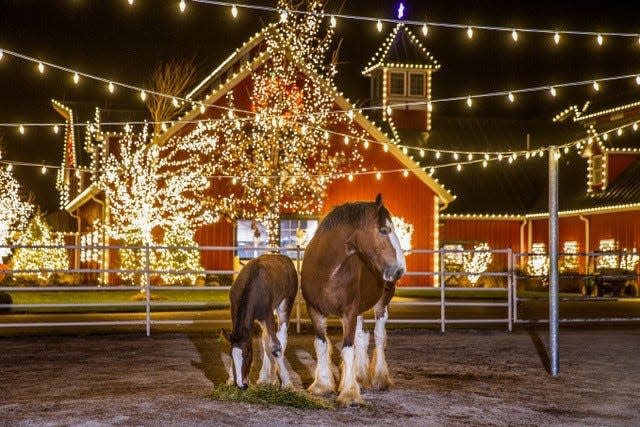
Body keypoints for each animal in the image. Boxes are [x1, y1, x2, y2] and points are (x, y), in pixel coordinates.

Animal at [222, 254, 298, 392]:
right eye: (231, 356)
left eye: (247, 354)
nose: (242, 385)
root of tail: (284, 258)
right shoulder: (234, 311)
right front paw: (230, 378)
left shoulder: (267, 315)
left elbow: (275, 346)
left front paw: (287, 383)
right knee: (265, 338)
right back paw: (264, 377)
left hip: (285, 303)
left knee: (281, 336)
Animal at [302, 195, 404, 408]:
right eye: (384, 230)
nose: (399, 269)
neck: (326, 270)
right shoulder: (314, 311)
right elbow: (321, 344)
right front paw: (322, 385)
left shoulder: (348, 311)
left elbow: (347, 348)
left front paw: (349, 394)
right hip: (359, 309)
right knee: (362, 337)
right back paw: (361, 377)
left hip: (381, 304)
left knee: (379, 336)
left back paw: (379, 379)